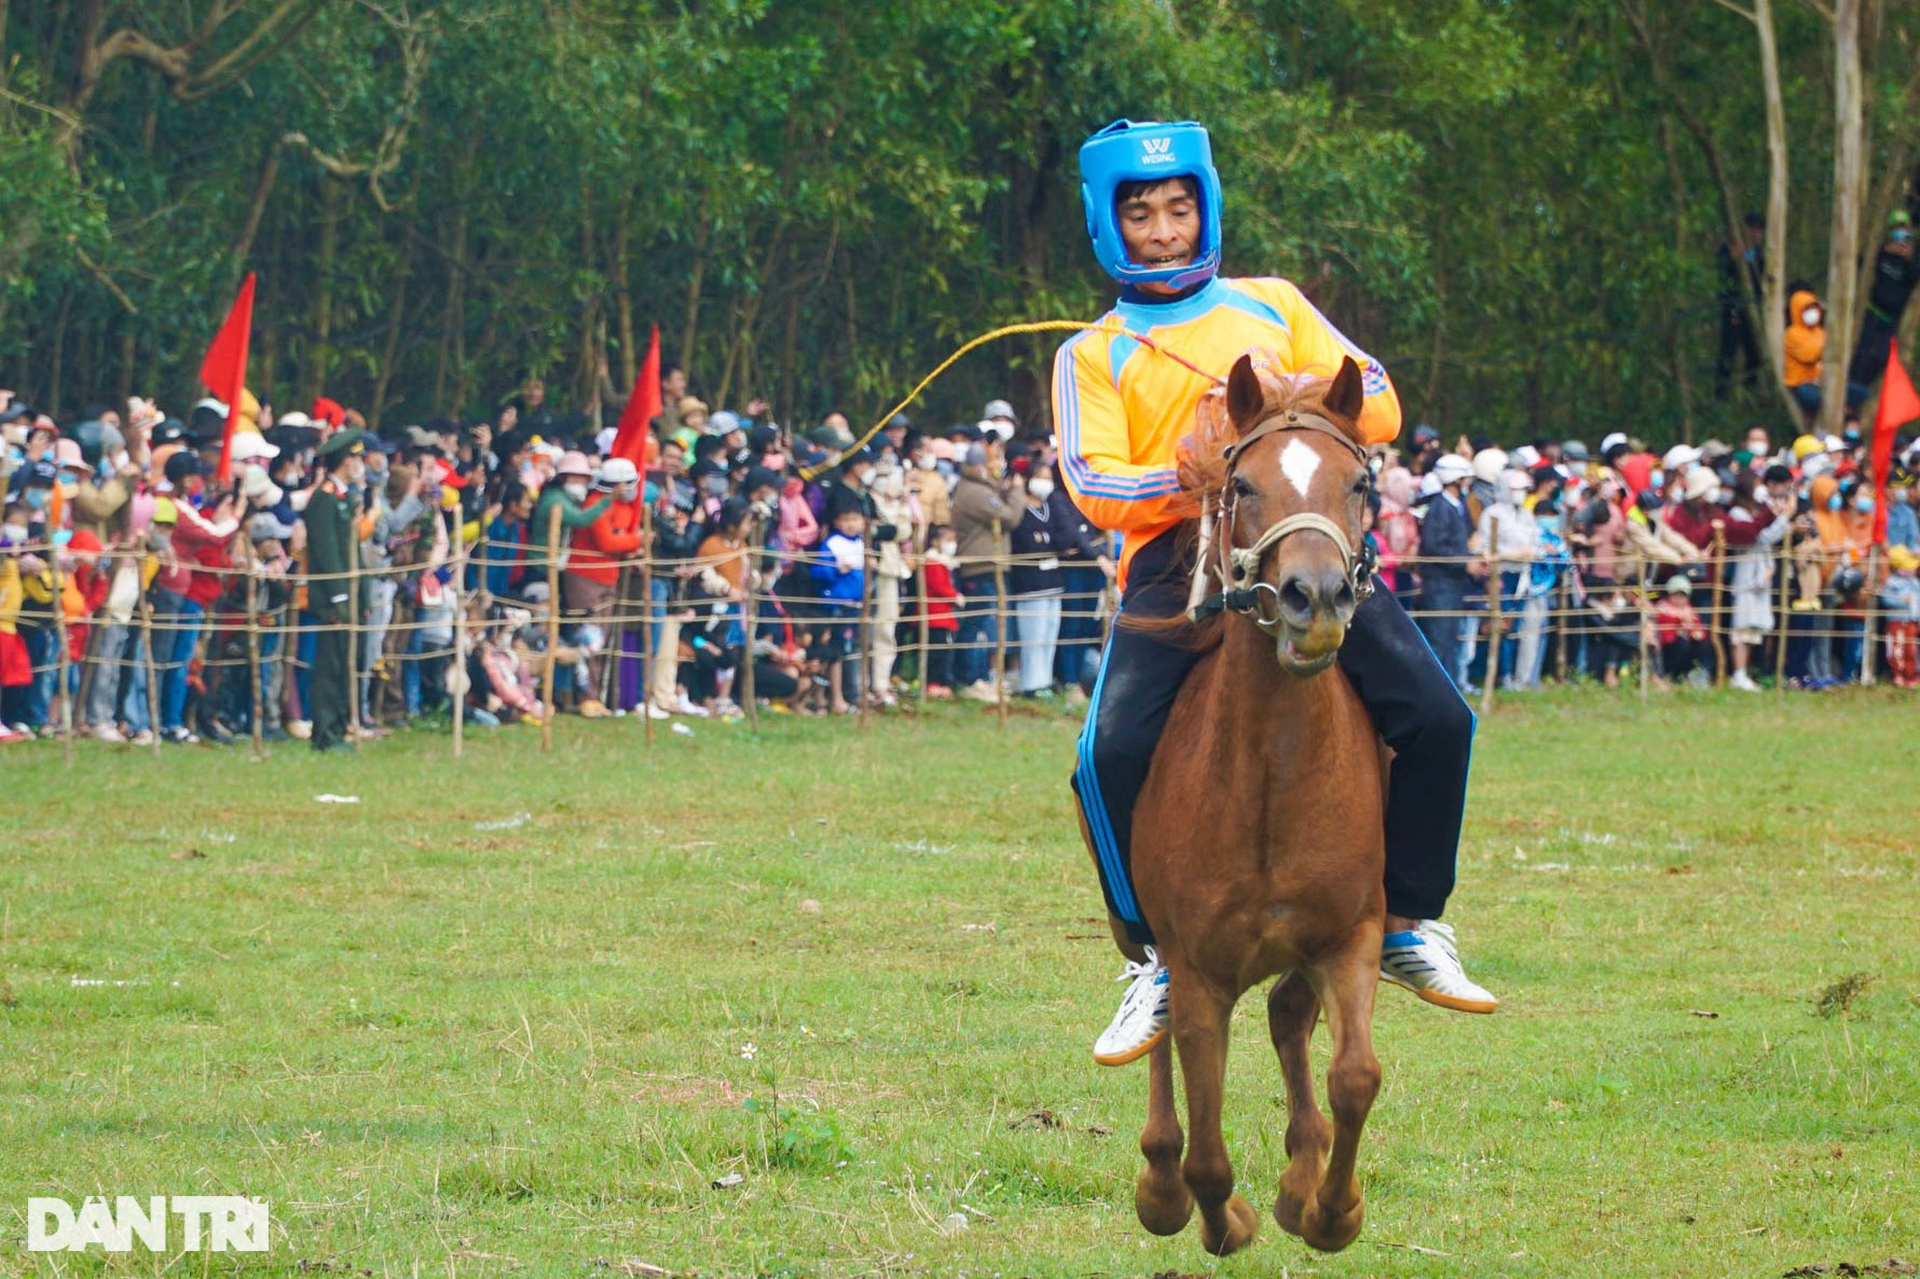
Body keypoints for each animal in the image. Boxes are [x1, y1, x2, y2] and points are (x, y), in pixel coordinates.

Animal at [1121, 353, 1390, 1252]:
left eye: (1359, 482)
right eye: (1242, 484)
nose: (1317, 599)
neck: (1273, 779)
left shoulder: (1351, 933)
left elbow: (1355, 1075)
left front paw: (1329, 1207)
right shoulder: (1199, 970)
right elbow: (1206, 1152)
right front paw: (1216, 1215)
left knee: (1287, 1016)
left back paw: (1304, 1169)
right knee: (1163, 1030)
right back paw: (1161, 1179)